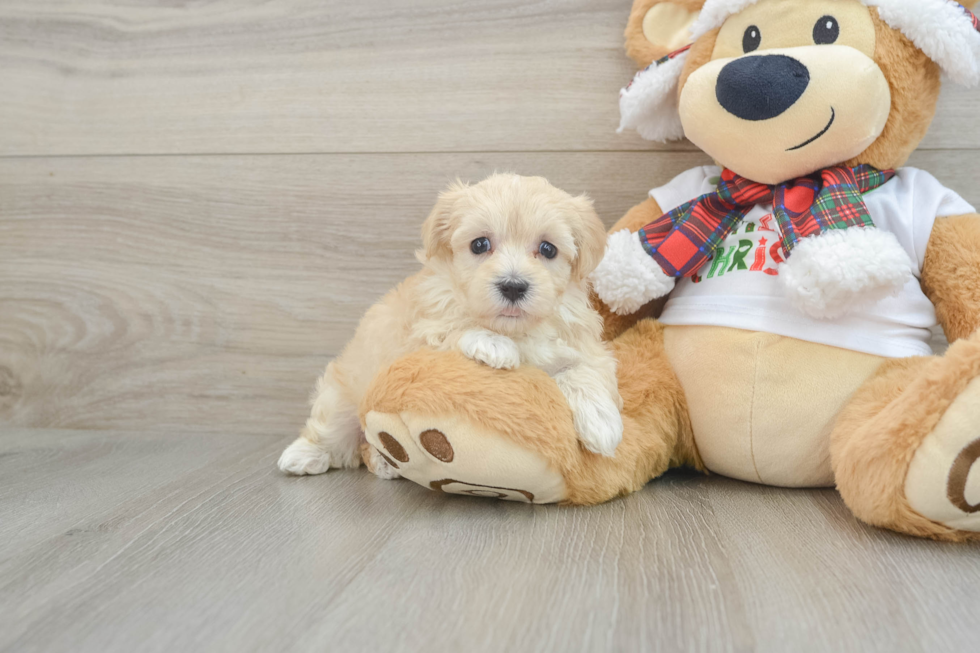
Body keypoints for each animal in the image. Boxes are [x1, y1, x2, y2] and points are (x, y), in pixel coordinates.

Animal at [280, 172, 624, 478]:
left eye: (548, 249)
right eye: (480, 244)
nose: (513, 286)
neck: (514, 330)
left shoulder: (583, 344)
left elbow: (585, 370)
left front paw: (602, 423)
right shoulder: (415, 339)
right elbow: (450, 328)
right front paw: (493, 345)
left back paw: (385, 462)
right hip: (343, 395)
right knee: (334, 429)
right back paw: (305, 455)